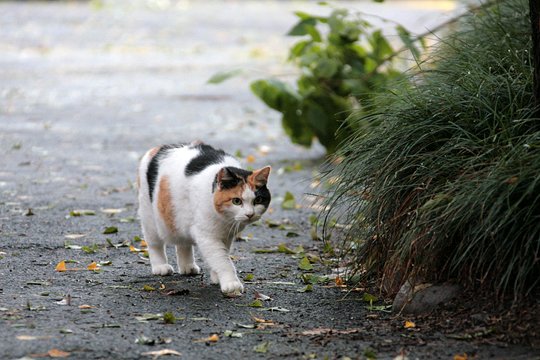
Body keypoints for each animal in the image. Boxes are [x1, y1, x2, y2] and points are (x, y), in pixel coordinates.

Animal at [135, 142, 270, 296]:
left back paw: (187, 267)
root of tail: (156, 149)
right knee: (154, 244)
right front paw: (231, 284)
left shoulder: (226, 236)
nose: (250, 214)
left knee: (183, 242)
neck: (224, 219)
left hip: (180, 220)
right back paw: (161, 266)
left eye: (258, 200)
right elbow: (223, 260)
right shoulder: (207, 236)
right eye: (237, 201)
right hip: (150, 218)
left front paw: (216, 277)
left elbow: (221, 255)